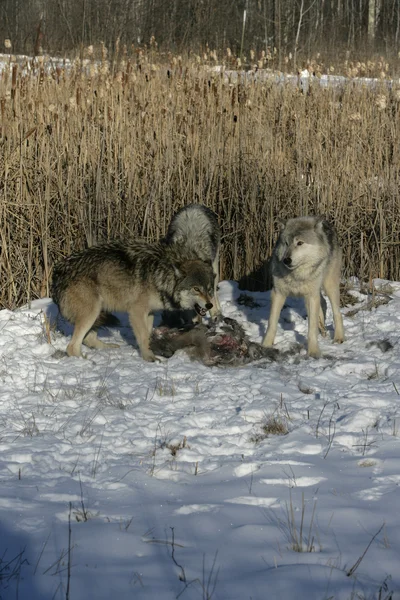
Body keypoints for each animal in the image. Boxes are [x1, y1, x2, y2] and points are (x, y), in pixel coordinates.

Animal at [52, 239, 217, 360]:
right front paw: (149, 358)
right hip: (91, 312)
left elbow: (147, 335)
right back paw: (86, 362)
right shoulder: (136, 312)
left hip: (97, 312)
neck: (159, 273)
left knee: (88, 339)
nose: (209, 305)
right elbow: (143, 336)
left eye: (209, 289)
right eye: (196, 289)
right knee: (72, 347)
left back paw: (109, 348)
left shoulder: (149, 313)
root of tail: (58, 271)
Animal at [262, 216, 344, 356]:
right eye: (286, 243)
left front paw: (313, 352)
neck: (296, 275)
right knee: (323, 303)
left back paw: (338, 337)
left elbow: (311, 328)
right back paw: (322, 327)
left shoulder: (311, 296)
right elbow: (272, 323)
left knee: (336, 312)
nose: (286, 260)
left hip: (329, 286)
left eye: (300, 243)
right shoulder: (278, 293)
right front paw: (265, 345)